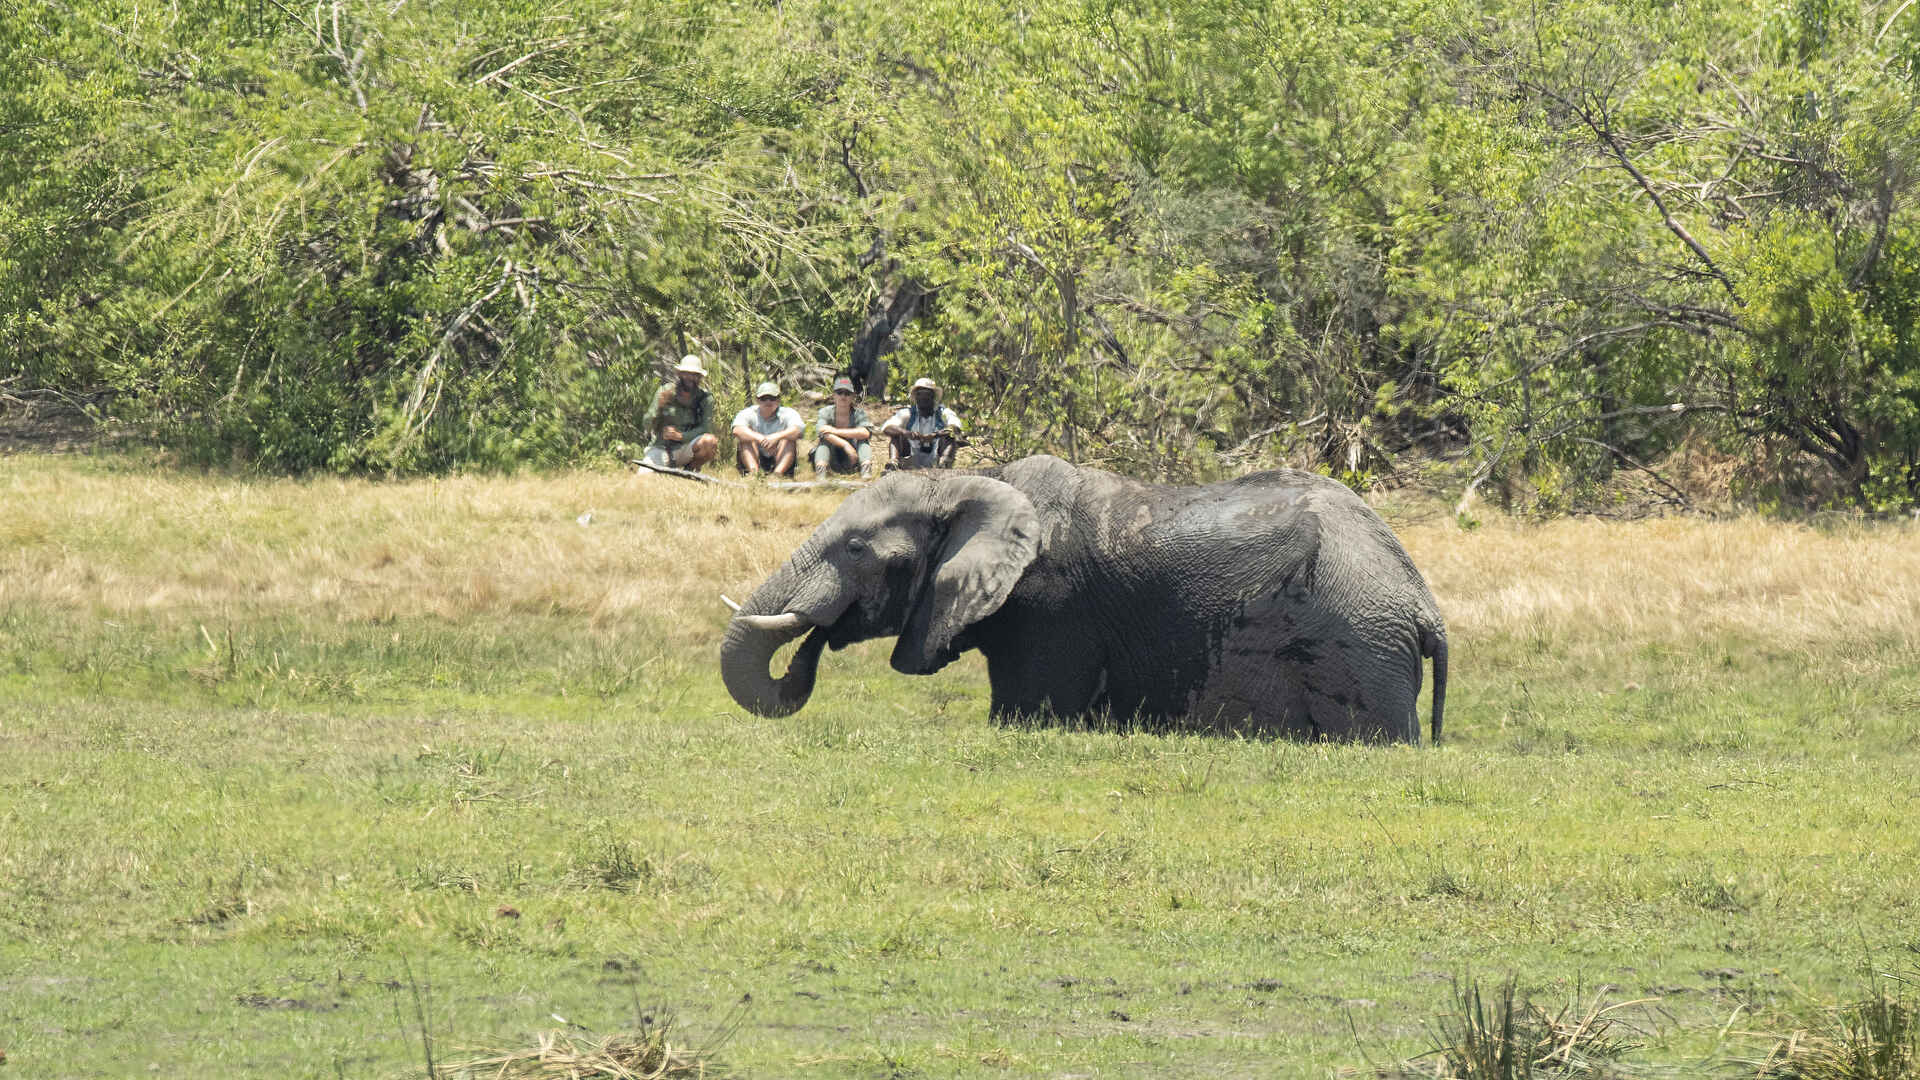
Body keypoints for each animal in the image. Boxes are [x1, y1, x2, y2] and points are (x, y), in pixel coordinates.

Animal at [720, 454, 1448, 742]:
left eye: (856, 550)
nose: (817, 639)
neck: (971, 484)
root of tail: (1423, 604)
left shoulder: (1050, 607)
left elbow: (1024, 714)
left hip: (1358, 644)